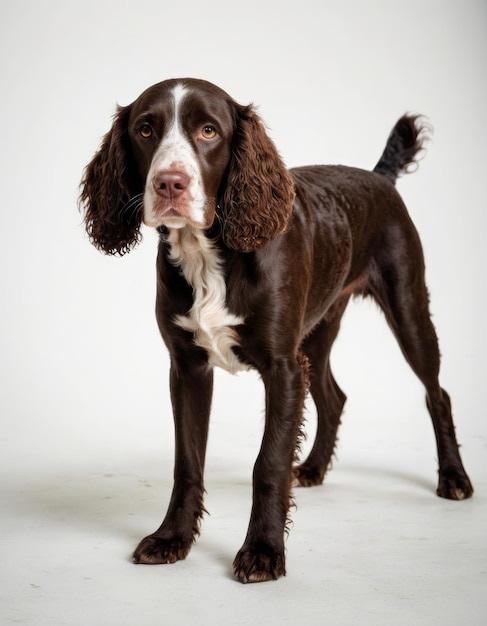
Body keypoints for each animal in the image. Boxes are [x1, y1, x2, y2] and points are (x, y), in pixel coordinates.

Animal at [79, 77, 472, 580]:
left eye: (209, 130)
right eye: (145, 130)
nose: (170, 183)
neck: (210, 253)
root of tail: (379, 176)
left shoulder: (282, 367)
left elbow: (268, 462)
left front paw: (263, 551)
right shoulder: (187, 366)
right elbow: (187, 462)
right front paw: (172, 538)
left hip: (407, 307)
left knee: (437, 394)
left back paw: (454, 478)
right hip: (319, 329)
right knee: (334, 396)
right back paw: (315, 468)